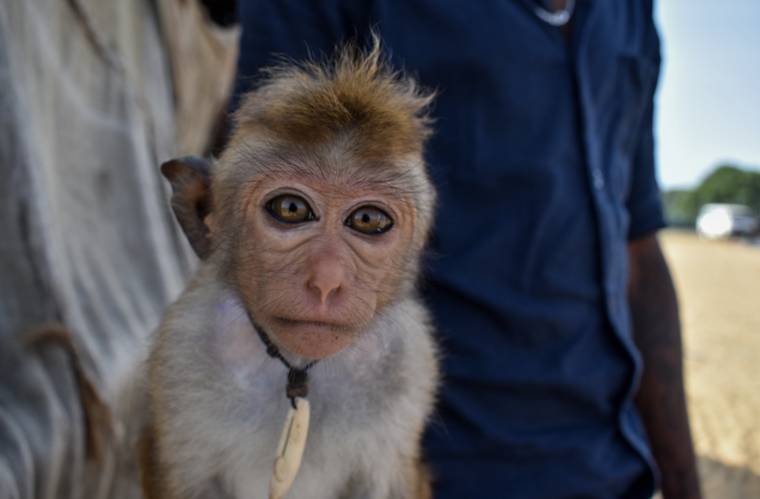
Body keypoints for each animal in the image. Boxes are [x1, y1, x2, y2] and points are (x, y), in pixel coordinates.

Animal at [140, 39, 439, 499]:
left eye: (368, 219)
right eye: (291, 209)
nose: (327, 282)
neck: (297, 372)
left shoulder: (407, 363)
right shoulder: (182, 353)